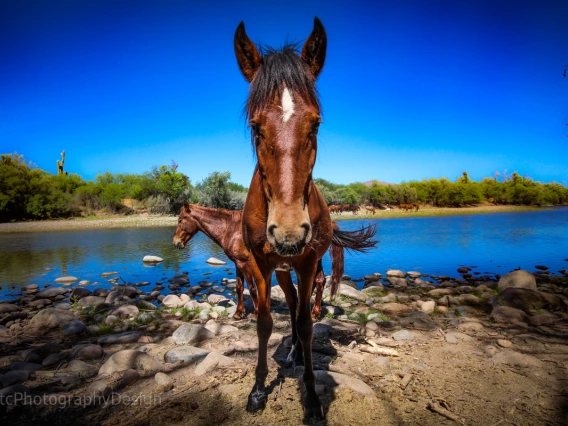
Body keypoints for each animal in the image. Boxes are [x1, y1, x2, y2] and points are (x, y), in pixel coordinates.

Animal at [173, 203, 378, 320]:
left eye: (181, 219)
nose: (175, 243)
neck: (232, 229)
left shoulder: (246, 264)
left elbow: (252, 288)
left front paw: (256, 313)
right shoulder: (238, 263)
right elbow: (239, 287)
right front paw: (239, 313)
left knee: (317, 282)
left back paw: (312, 313)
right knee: (319, 282)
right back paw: (312, 312)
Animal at [235, 16, 342, 420]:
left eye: (315, 124)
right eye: (255, 126)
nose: (290, 231)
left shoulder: (308, 261)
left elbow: (307, 324)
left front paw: (311, 397)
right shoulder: (261, 264)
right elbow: (265, 322)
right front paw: (257, 389)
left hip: (296, 264)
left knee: (299, 307)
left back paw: (297, 353)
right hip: (282, 268)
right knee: (293, 301)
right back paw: (292, 352)